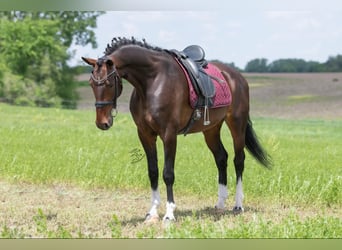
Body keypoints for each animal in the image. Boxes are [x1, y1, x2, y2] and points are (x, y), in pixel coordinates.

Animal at [81, 37, 272, 223]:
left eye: (108, 83)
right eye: (91, 83)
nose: (102, 123)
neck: (152, 81)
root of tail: (237, 76)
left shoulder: (169, 134)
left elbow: (168, 173)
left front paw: (169, 214)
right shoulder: (145, 134)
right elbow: (153, 172)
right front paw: (152, 213)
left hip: (237, 124)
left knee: (238, 160)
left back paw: (238, 205)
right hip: (211, 129)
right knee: (221, 158)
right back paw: (220, 203)